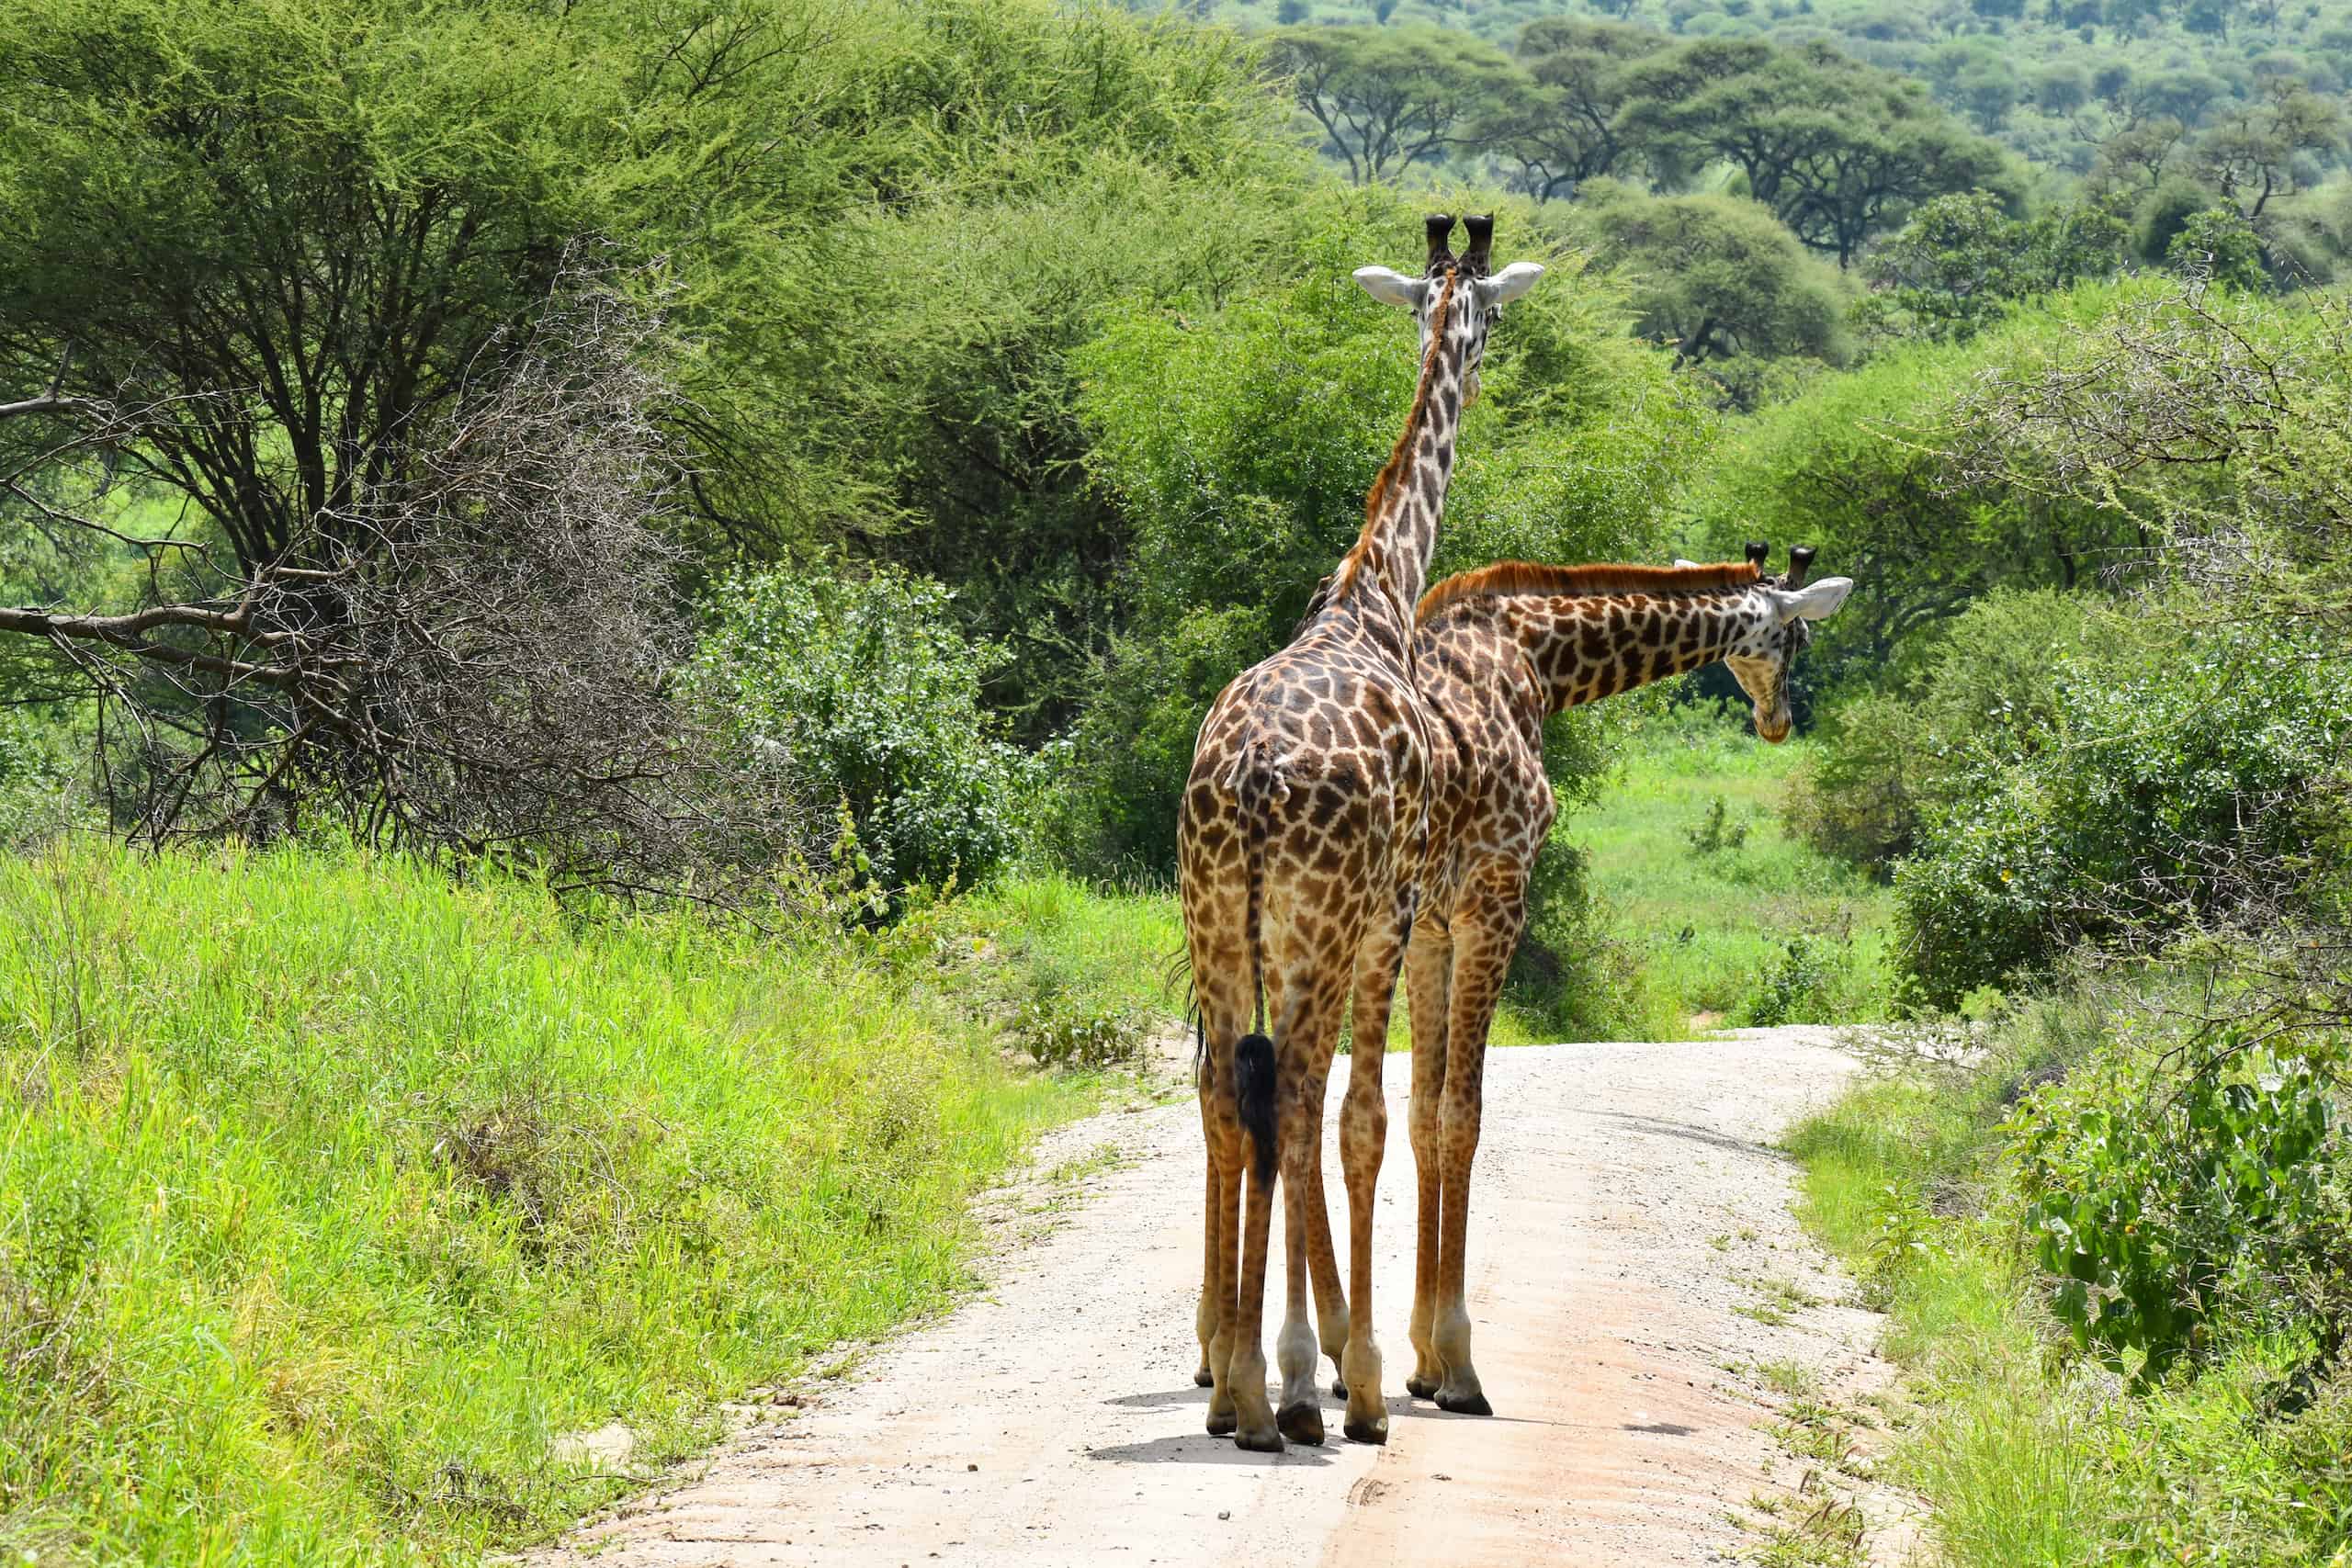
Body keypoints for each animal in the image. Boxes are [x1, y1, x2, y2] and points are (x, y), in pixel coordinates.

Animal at [1176, 211, 1543, 1457]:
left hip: (1216, 920)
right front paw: (1363, 1374)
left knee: (1228, 1094)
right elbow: (1367, 1117)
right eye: (1488, 317)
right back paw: (1288, 1389)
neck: (1374, 594)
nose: (1480, 359)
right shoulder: (1395, 913)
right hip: (1320, 922)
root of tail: (1245, 779)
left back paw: (1238, 1389)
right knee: (1290, 1096)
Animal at [1392, 545, 1853, 1419]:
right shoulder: (1493, 900)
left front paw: (1424, 1365)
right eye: (1798, 641)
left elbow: (1424, 1116)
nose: (1778, 723)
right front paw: (1460, 1369)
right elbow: (1461, 1115)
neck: (1533, 661)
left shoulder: (1432, 927)